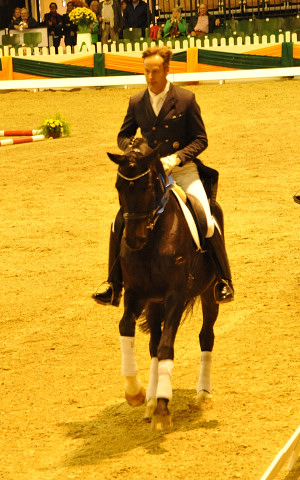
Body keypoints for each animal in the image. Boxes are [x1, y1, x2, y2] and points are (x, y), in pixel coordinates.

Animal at [106, 139, 221, 432]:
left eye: (147, 187)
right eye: (119, 187)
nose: (133, 240)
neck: (152, 238)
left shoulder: (174, 296)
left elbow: (167, 346)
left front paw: (162, 409)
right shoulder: (136, 294)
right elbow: (126, 328)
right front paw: (136, 394)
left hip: (209, 293)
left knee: (206, 337)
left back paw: (203, 394)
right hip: (153, 303)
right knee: (153, 344)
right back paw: (149, 400)